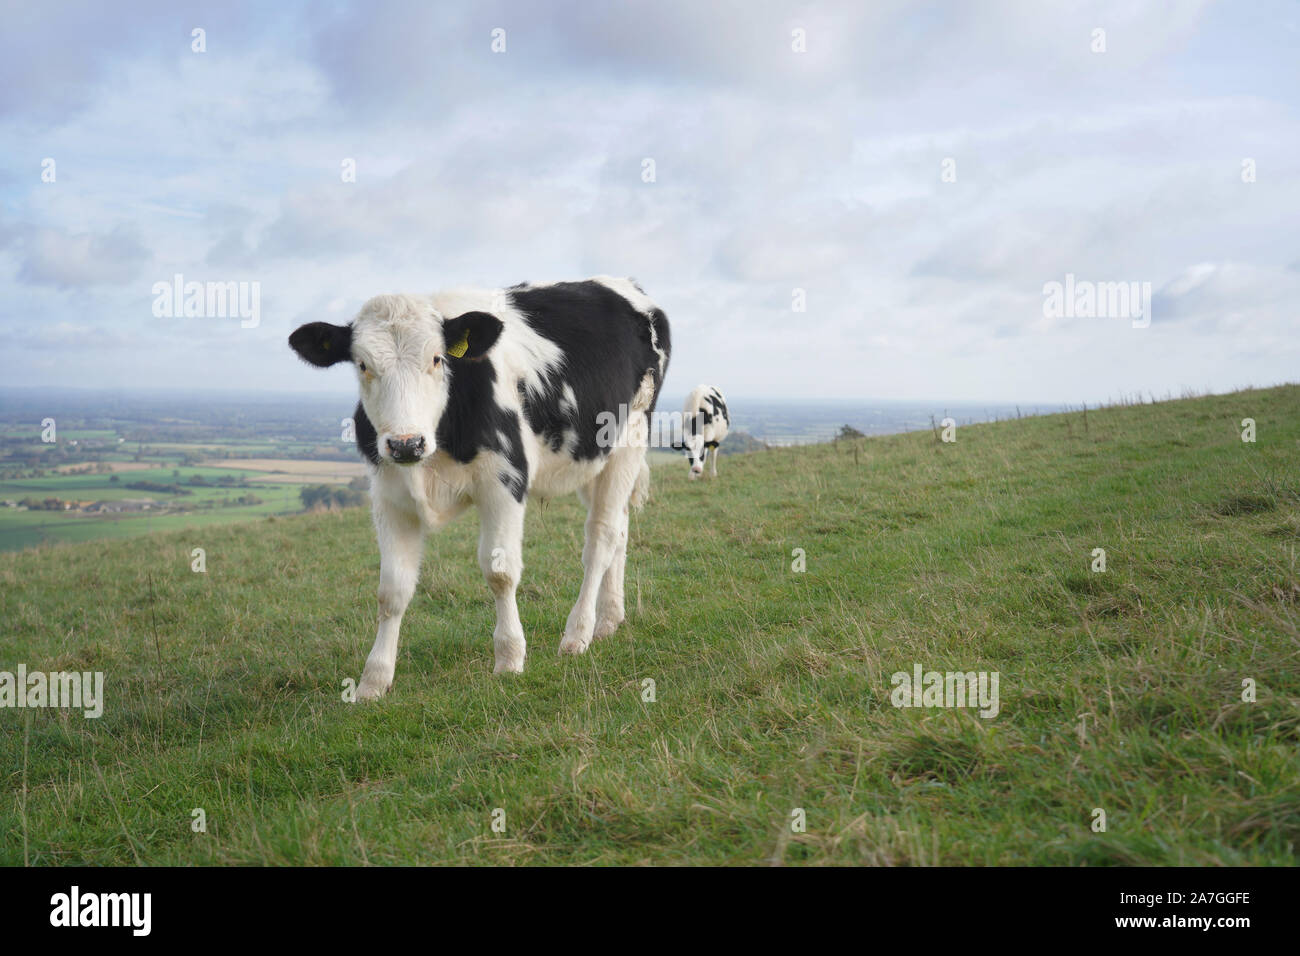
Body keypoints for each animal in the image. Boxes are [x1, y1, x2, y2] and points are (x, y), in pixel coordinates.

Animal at [288, 277, 670, 698]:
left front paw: (509, 657)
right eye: (362, 365)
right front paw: (374, 680)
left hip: (630, 437)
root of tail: (622, 285)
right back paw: (609, 619)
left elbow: (499, 572)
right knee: (619, 528)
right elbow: (392, 590)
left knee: (601, 538)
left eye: (437, 359)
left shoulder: (504, 481)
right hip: (592, 459)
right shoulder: (389, 496)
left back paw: (578, 633)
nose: (406, 444)